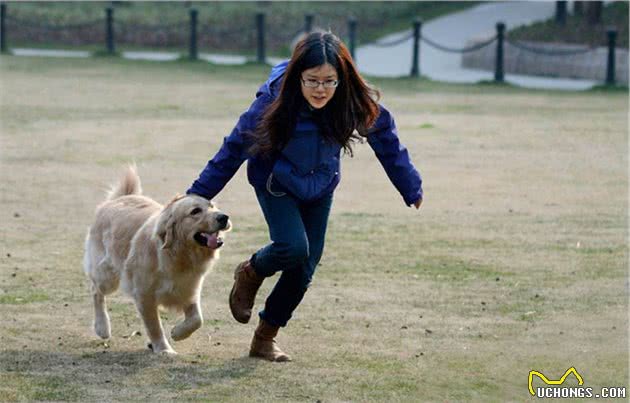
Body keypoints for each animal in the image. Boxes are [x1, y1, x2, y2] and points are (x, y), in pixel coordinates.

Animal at [82, 166, 232, 356]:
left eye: (212, 206)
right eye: (195, 211)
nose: (224, 217)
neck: (179, 257)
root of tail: (120, 198)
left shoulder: (188, 289)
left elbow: (197, 319)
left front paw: (177, 333)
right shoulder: (144, 296)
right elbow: (154, 326)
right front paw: (164, 349)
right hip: (107, 276)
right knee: (96, 291)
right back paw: (102, 327)